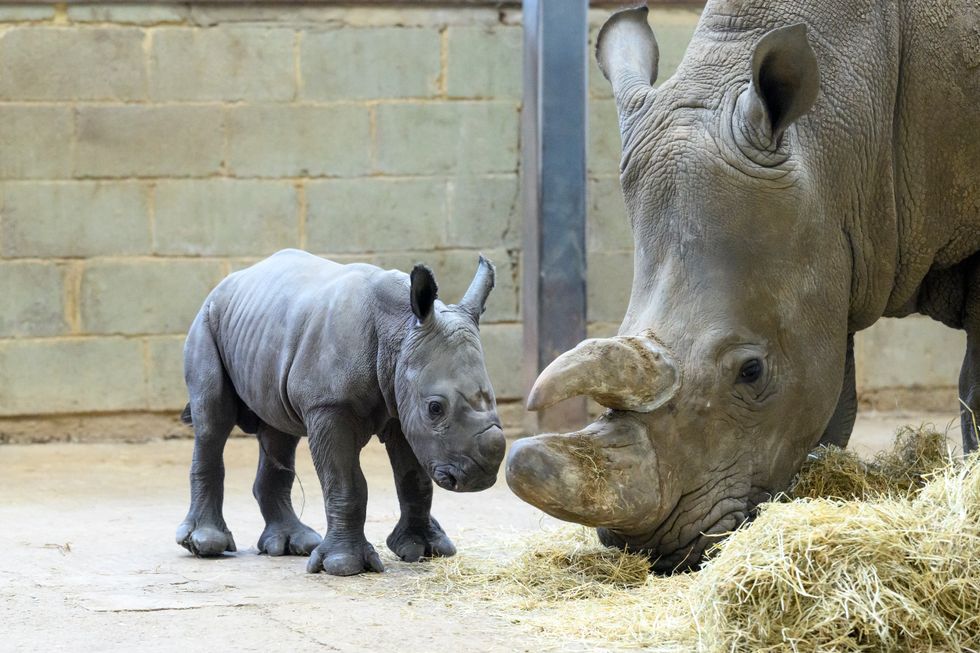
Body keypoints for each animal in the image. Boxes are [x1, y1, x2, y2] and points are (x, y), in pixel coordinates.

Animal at [176, 249, 505, 575]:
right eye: (435, 408)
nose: (481, 477)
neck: (399, 330)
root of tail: (227, 282)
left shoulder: (404, 407)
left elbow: (414, 479)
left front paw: (425, 550)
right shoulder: (329, 406)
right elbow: (346, 484)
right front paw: (344, 565)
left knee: (278, 432)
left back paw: (290, 545)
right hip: (207, 320)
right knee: (212, 422)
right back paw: (206, 544)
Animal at [507, 1, 980, 572]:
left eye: (751, 372)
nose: (650, 549)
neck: (839, 151)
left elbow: (975, 386)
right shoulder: (831, 246)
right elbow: (835, 401)